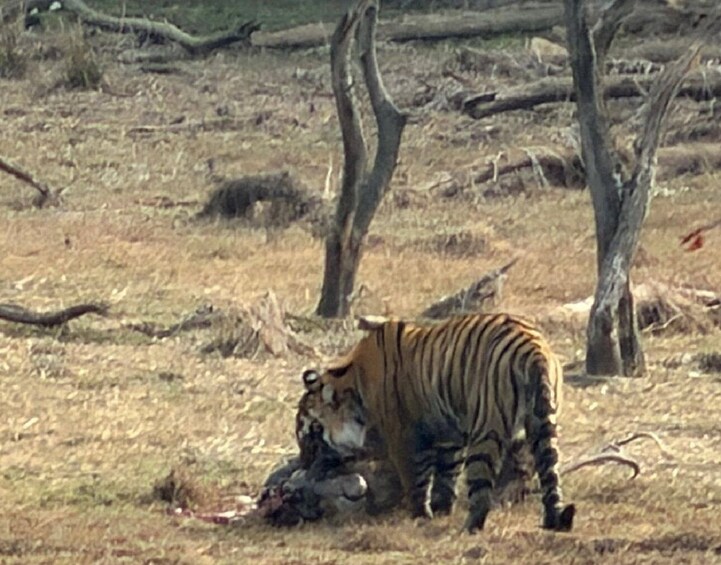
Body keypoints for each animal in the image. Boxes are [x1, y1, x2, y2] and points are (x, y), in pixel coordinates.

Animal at [296, 313, 575, 533]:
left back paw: (470, 528)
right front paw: (441, 510)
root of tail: (533, 349)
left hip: (487, 431)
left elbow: (416, 480)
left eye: (311, 433)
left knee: (482, 489)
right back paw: (553, 521)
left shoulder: (404, 436)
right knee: (547, 474)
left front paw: (421, 515)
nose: (304, 464)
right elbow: (447, 473)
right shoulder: (450, 436)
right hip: (540, 426)